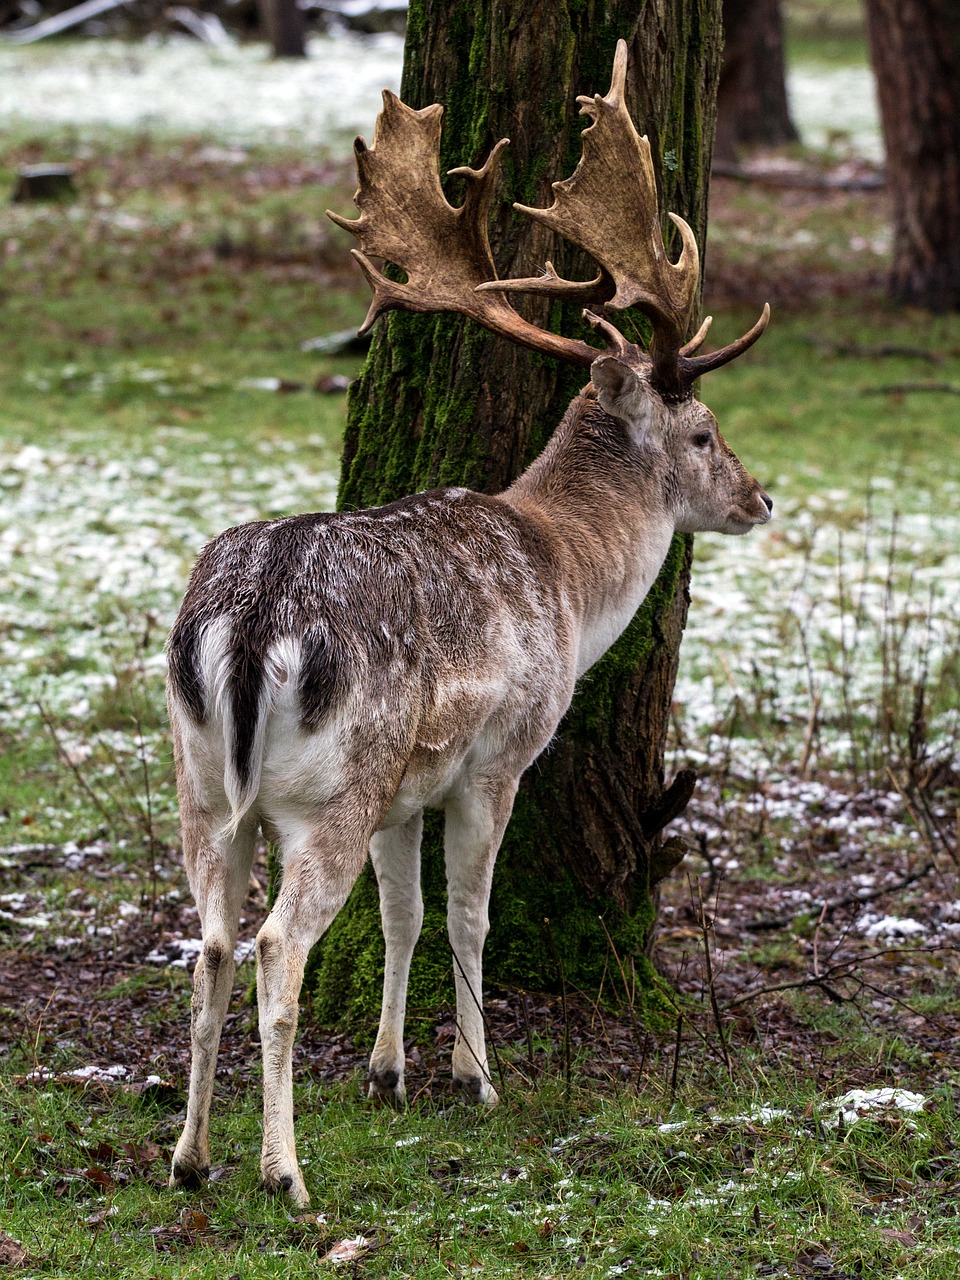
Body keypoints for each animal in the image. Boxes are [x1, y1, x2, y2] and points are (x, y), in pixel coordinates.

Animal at [167, 35, 773, 1203]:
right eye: (706, 433)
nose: (762, 498)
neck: (567, 576)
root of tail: (253, 623)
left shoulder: (411, 788)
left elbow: (402, 914)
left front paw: (388, 1070)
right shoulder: (498, 754)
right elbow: (469, 910)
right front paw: (475, 1075)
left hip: (202, 783)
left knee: (211, 940)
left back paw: (190, 1155)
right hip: (331, 790)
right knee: (274, 946)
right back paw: (282, 1174)